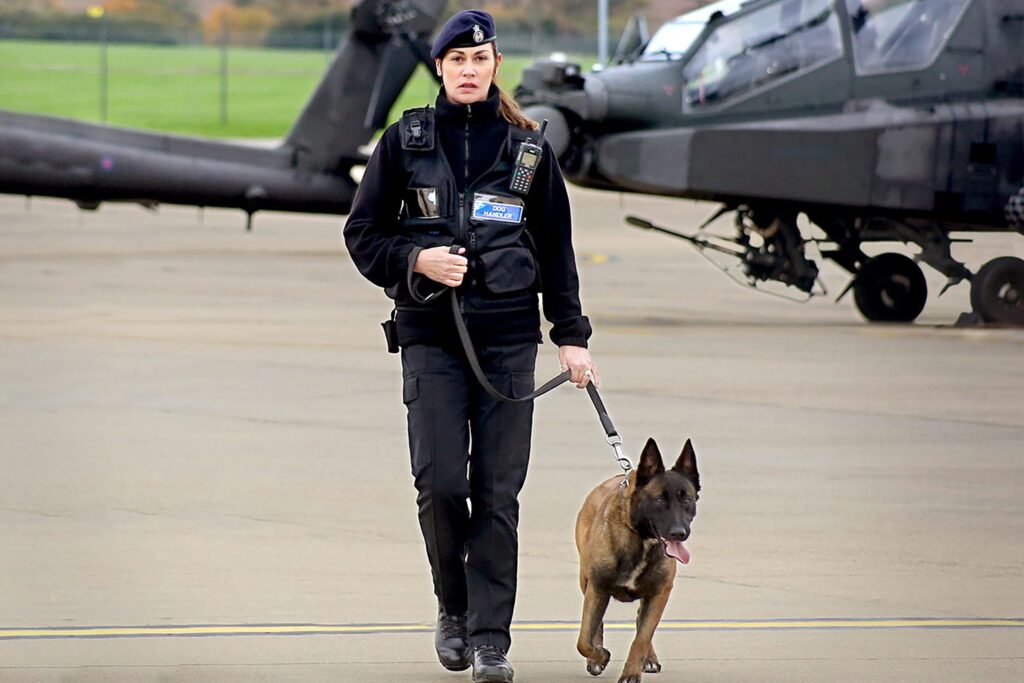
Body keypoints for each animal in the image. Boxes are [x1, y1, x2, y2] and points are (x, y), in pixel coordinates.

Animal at [573, 438, 700, 683]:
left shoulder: (660, 593)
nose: (680, 533)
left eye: (687, 500)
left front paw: (632, 672)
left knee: (642, 621)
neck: (641, 540)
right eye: (659, 500)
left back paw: (648, 658)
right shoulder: (597, 588)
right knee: (596, 626)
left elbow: (642, 637)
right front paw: (599, 656)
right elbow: (584, 639)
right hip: (586, 582)